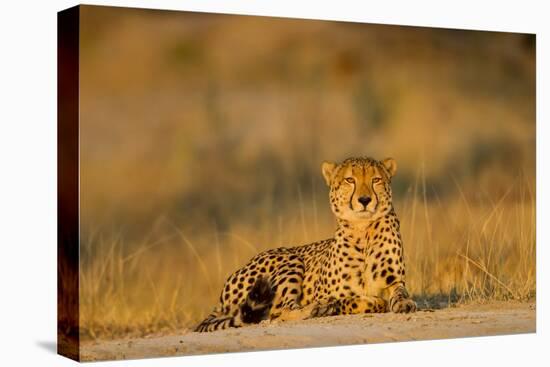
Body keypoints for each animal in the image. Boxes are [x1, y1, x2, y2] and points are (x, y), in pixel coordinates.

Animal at [196, 157, 416, 332]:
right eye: (350, 180)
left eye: (376, 180)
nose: (364, 200)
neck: (362, 230)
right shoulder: (327, 293)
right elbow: (352, 301)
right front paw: (339, 304)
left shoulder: (395, 281)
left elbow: (400, 293)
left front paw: (405, 303)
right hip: (290, 260)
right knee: (279, 311)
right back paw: (316, 308)